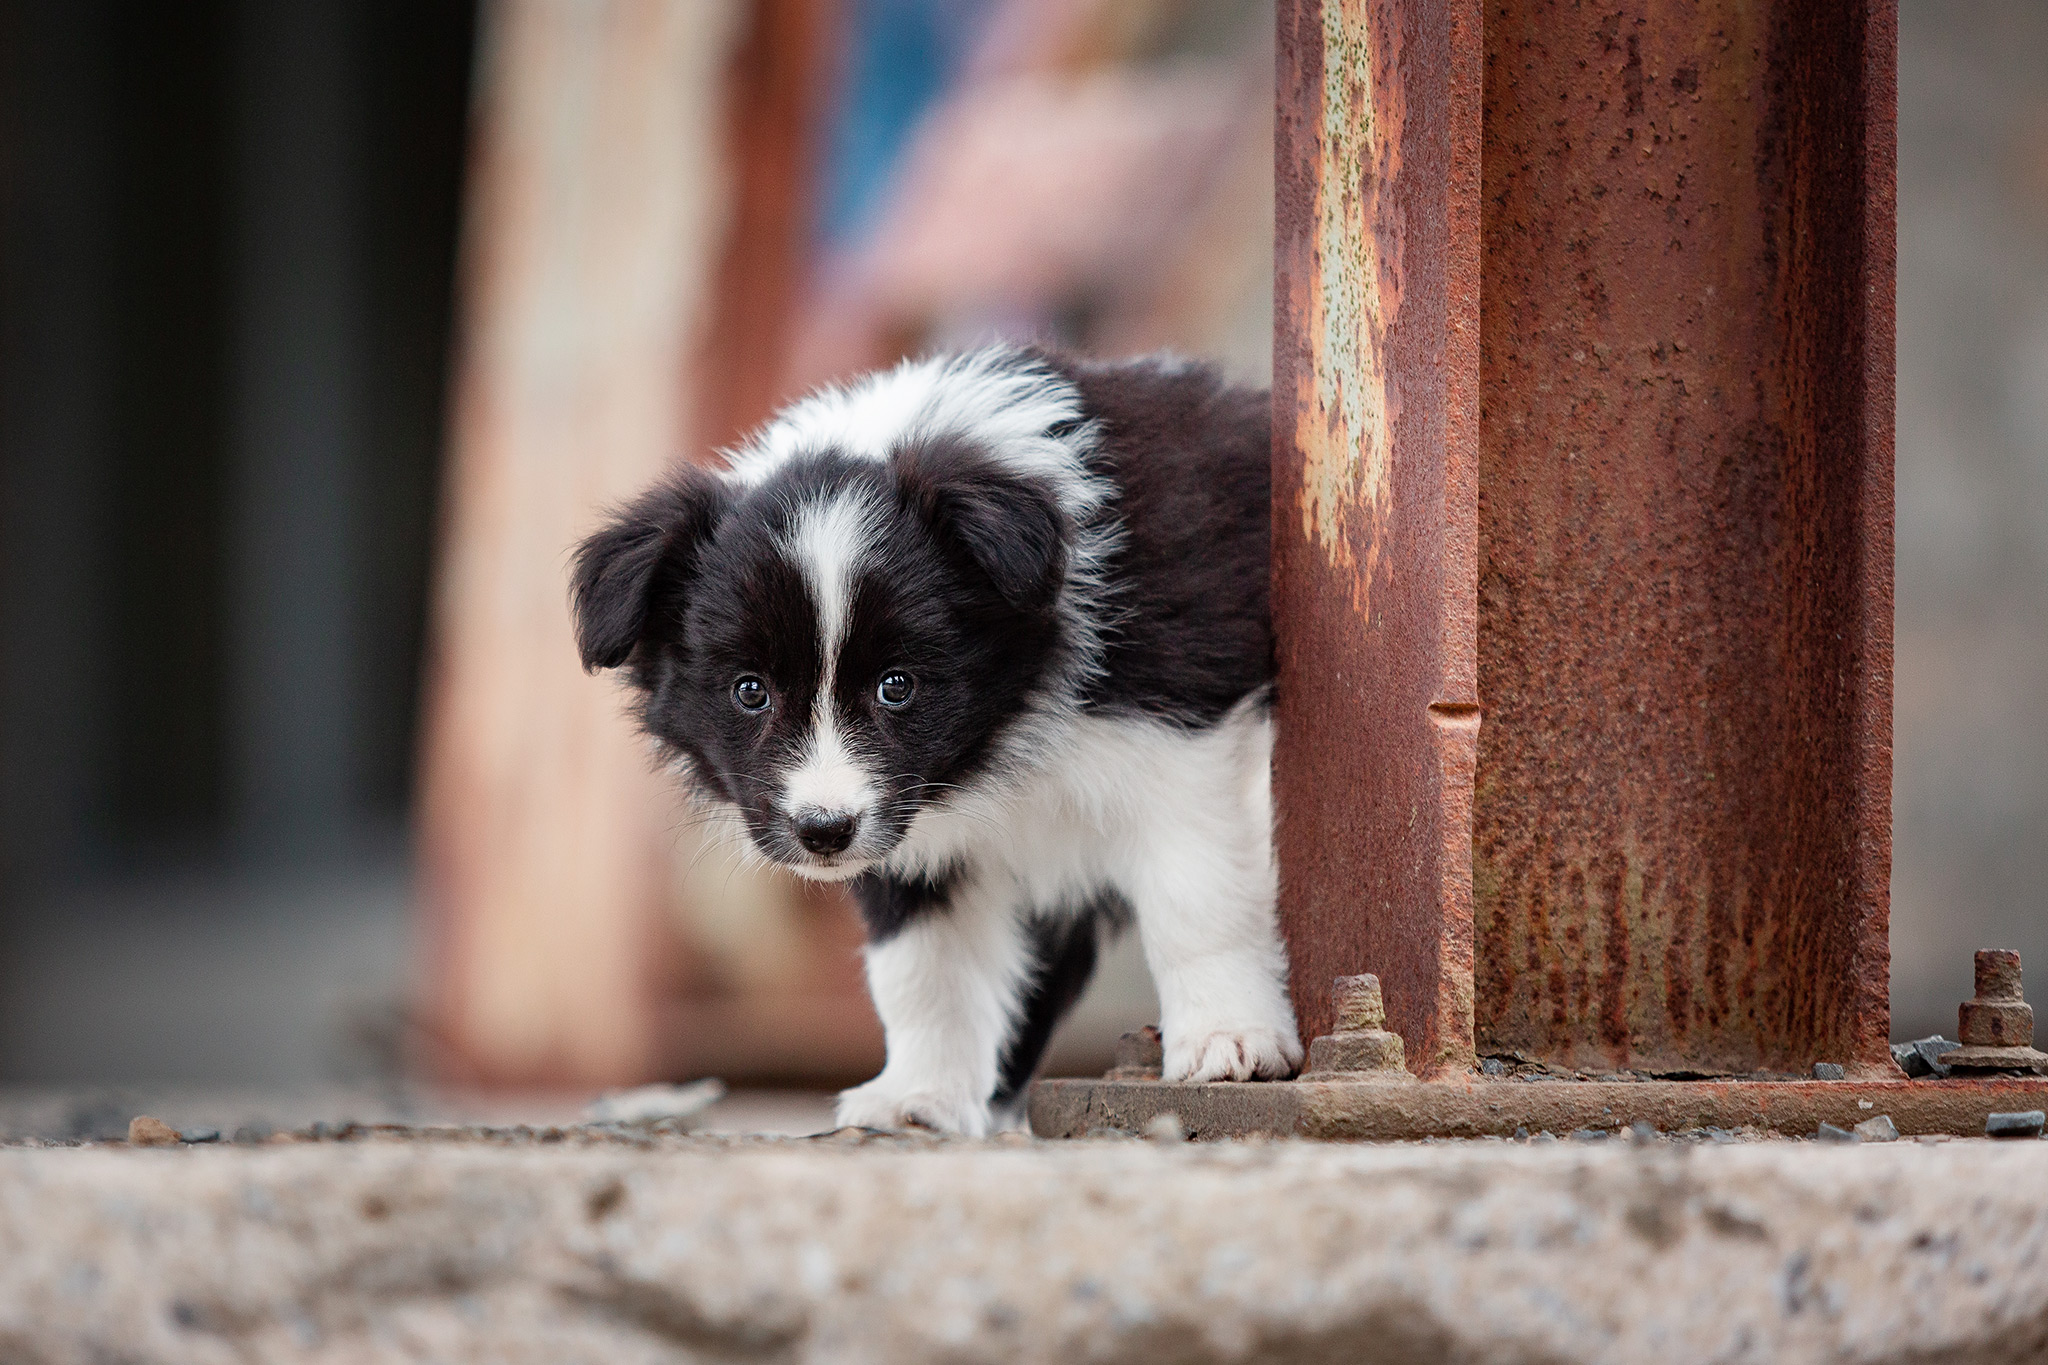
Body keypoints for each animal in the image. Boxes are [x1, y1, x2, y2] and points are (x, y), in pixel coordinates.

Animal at [569, 347, 1302, 1137]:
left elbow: (1196, 896)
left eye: (898, 685)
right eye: (749, 690)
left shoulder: (1185, 735)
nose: (822, 832)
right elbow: (924, 963)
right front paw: (919, 1096)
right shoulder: (907, 822)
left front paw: (1230, 1040)